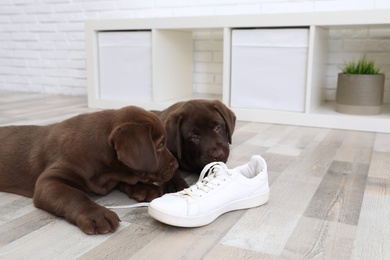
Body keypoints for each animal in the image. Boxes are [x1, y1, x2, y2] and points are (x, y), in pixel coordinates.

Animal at [0, 105, 178, 234]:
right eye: (160, 145)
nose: (176, 164)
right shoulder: (49, 180)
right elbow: (73, 194)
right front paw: (95, 214)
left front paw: (145, 188)